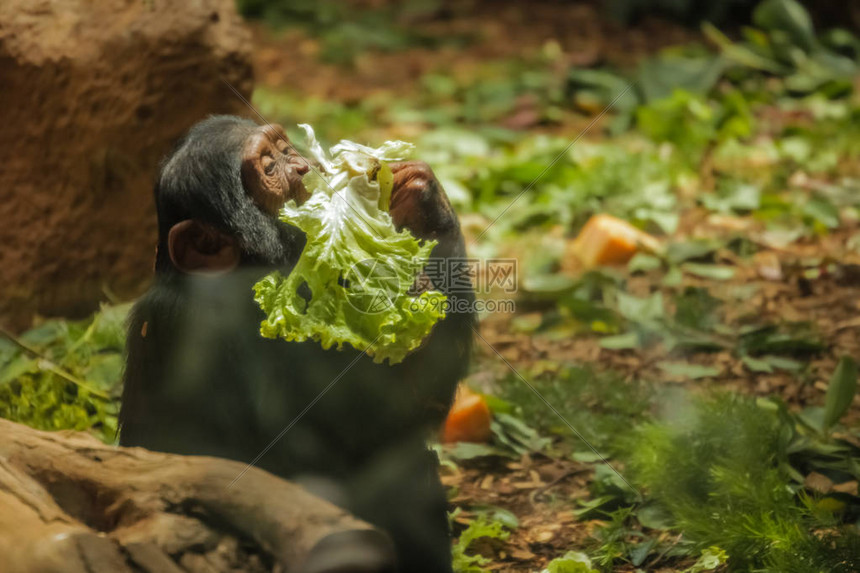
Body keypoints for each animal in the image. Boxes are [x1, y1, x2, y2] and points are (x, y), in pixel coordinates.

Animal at [117, 114, 474, 568]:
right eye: (269, 169)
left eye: (287, 150)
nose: (305, 168)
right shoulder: (203, 327)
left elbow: (411, 406)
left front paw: (420, 195)